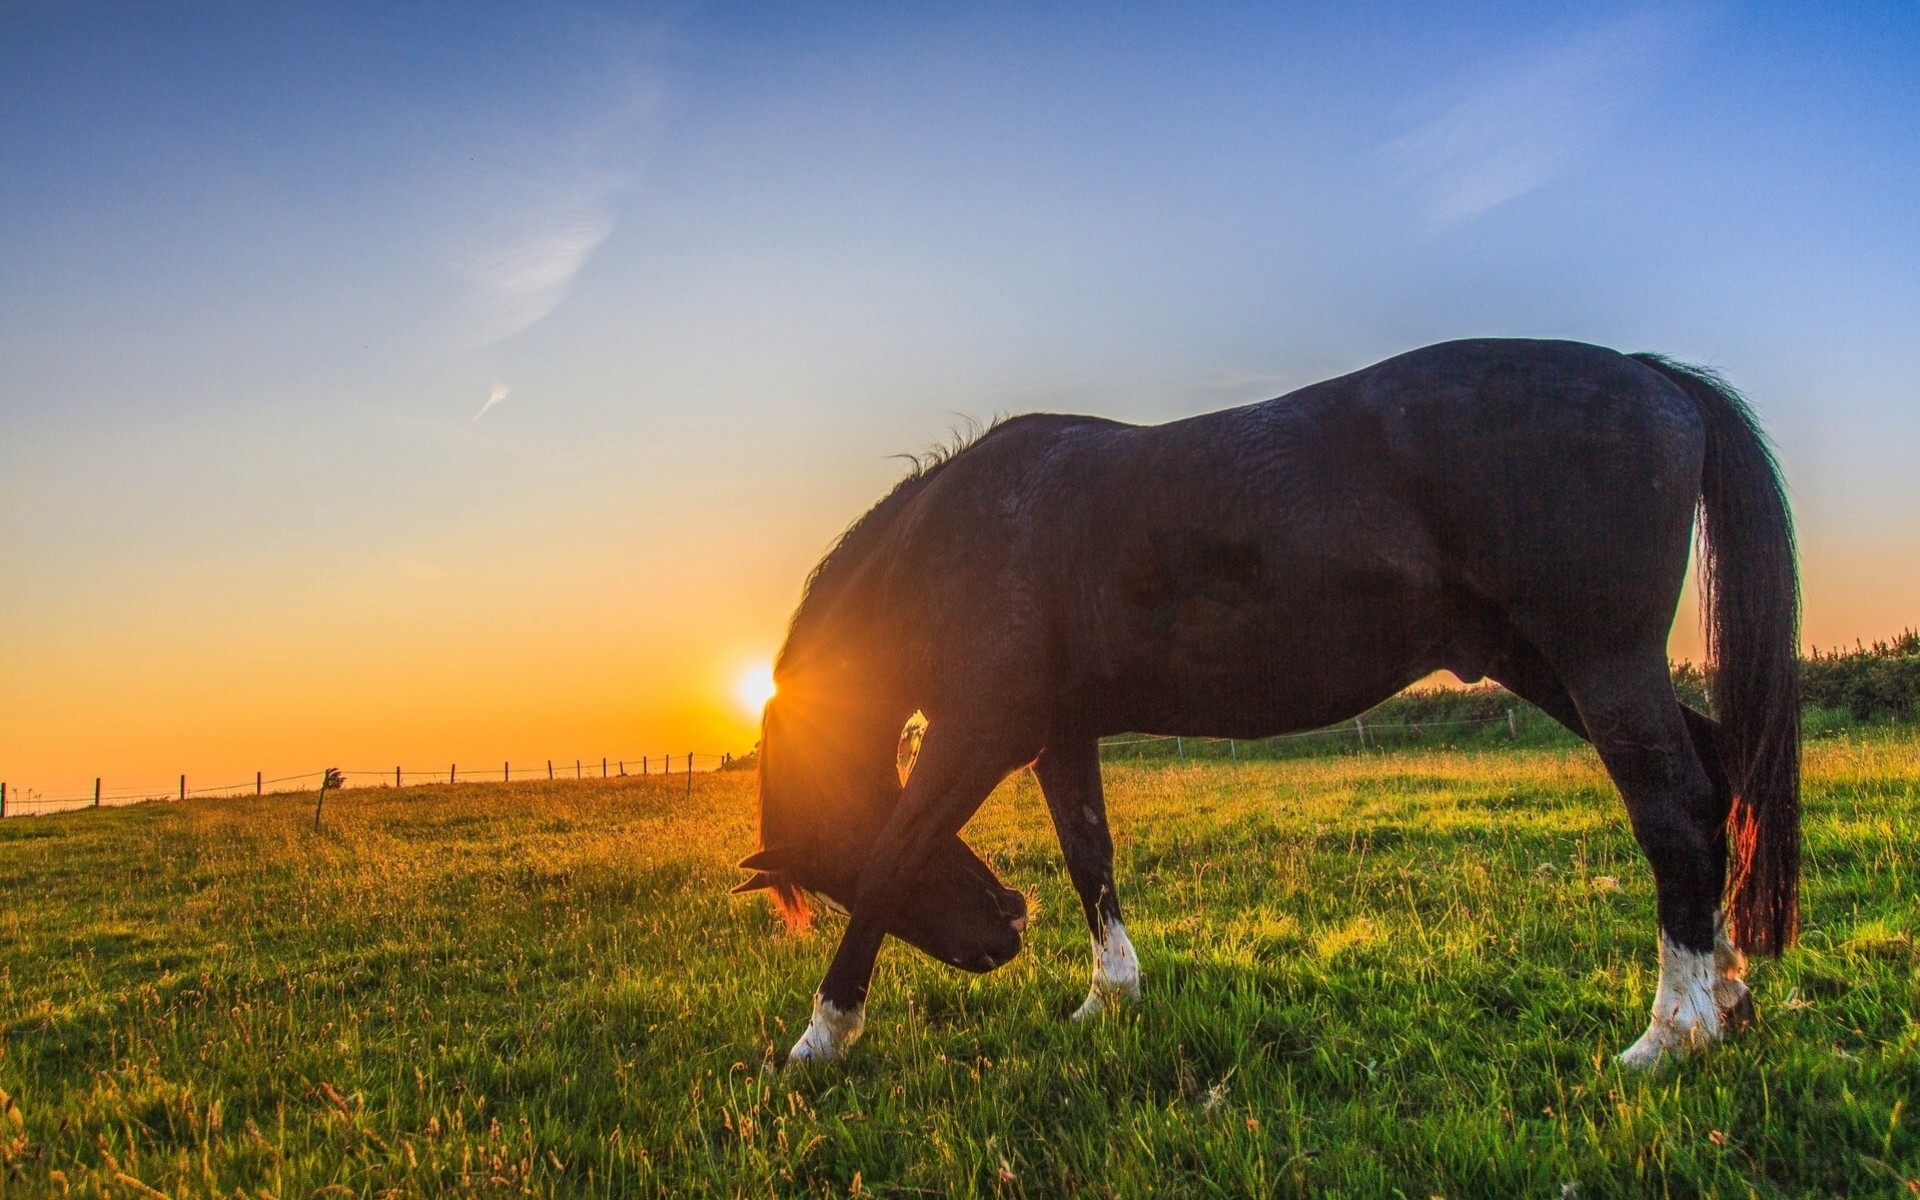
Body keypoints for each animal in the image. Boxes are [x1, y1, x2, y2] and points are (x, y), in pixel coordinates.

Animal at [732, 338, 1799, 1070]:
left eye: (829, 871)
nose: (1004, 929)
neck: (964, 535)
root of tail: (1652, 379)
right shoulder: (1057, 737)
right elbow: (1090, 858)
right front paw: (1110, 997)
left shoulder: (978, 735)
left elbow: (898, 852)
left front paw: (820, 1038)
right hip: (1551, 666)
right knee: (1715, 784)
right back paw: (1727, 993)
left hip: (1602, 666)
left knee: (1674, 815)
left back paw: (1670, 1033)